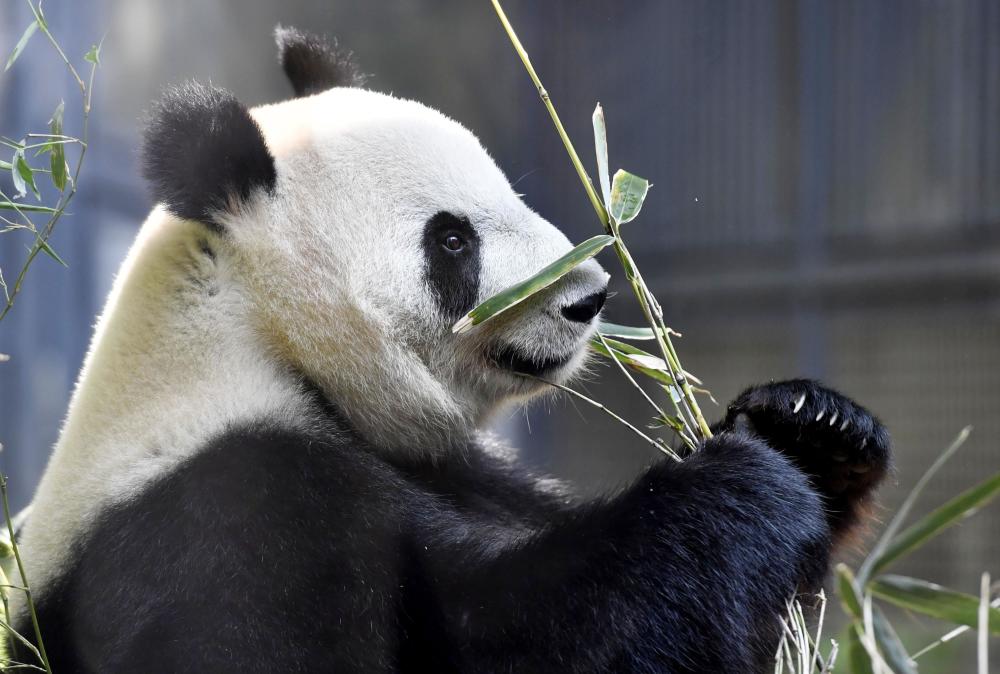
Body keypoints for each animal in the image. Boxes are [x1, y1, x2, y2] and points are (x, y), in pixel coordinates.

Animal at [13, 26, 892, 672]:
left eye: (508, 192)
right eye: (452, 240)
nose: (588, 298)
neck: (255, 335)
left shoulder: (456, 469)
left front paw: (813, 427)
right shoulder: (225, 520)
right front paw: (743, 488)